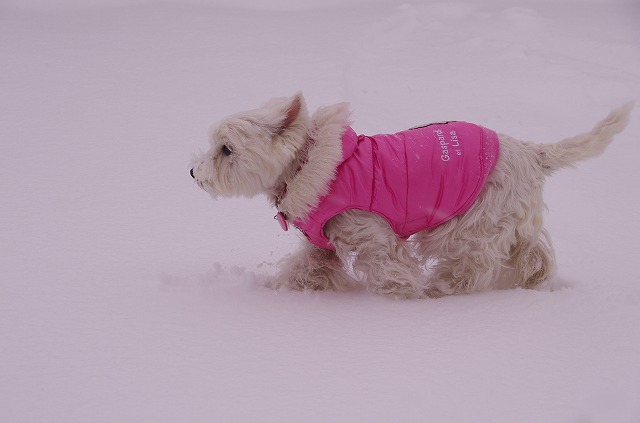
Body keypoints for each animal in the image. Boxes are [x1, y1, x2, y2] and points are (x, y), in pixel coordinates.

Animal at [189, 93, 632, 298]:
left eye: (226, 149)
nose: (194, 173)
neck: (311, 168)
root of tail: (531, 152)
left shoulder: (373, 236)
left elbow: (391, 270)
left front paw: (406, 299)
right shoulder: (322, 248)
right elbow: (303, 270)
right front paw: (275, 290)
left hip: (468, 226)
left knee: (471, 266)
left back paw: (441, 290)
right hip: (509, 219)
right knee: (533, 251)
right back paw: (533, 280)